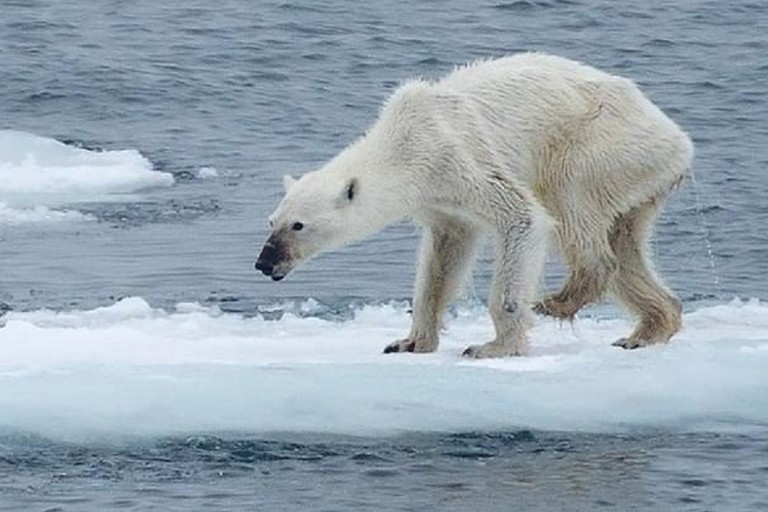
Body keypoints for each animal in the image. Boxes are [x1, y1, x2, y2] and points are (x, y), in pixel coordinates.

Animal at [255, 52, 692, 356]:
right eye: (271, 221)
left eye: (298, 225)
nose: (264, 263)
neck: (404, 143)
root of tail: (679, 140)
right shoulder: (440, 200)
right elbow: (443, 258)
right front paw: (409, 341)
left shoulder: (458, 158)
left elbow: (523, 217)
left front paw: (493, 346)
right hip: (637, 178)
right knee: (626, 244)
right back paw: (647, 329)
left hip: (602, 146)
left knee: (570, 203)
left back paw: (558, 300)